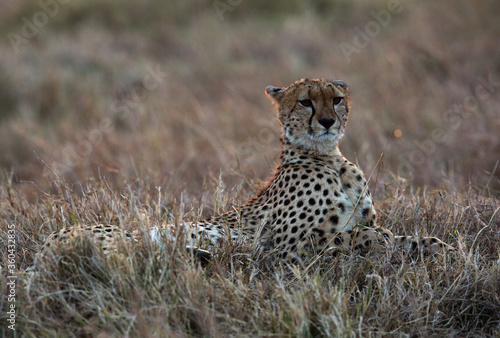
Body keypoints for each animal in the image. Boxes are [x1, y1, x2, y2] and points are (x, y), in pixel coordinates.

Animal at [37, 78, 456, 264]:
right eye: (306, 102)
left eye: (336, 99)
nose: (327, 121)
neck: (328, 157)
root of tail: (42, 244)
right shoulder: (285, 248)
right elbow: (357, 236)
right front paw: (383, 242)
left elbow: (398, 236)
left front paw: (444, 248)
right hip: (112, 236)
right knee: (129, 255)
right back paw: (203, 254)